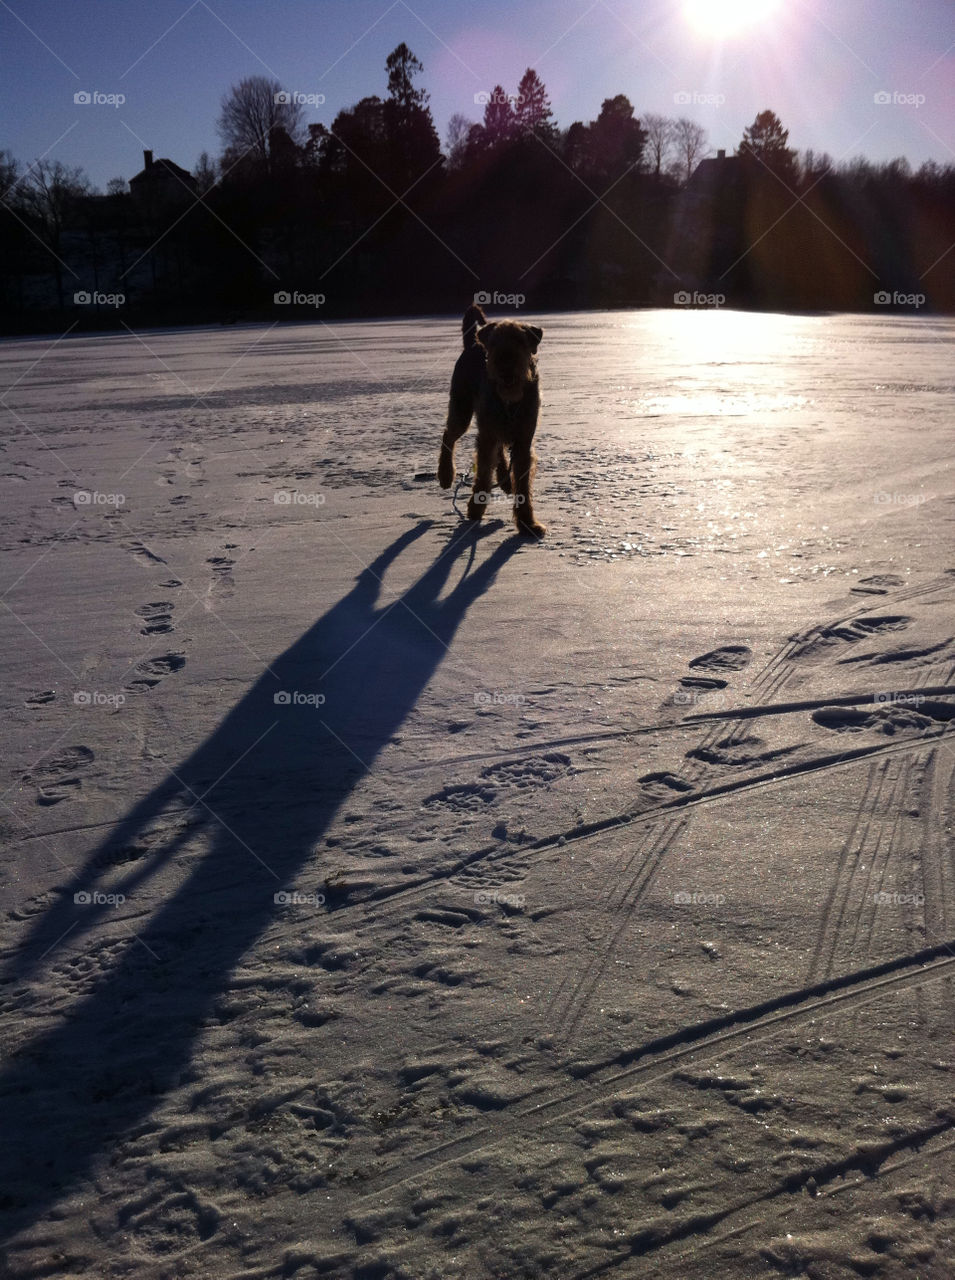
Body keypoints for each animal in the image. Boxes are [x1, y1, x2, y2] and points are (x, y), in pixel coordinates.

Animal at [437, 303, 542, 535]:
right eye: (494, 341)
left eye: (520, 340)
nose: (505, 366)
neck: (510, 400)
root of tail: (472, 343)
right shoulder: (486, 436)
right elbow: (483, 473)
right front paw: (475, 509)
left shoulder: (523, 440)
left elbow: (523, 485)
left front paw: (528, 523)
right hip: (462, 410)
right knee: (448, 435)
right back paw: (445, 475)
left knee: (500, 450)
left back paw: (505, 480)